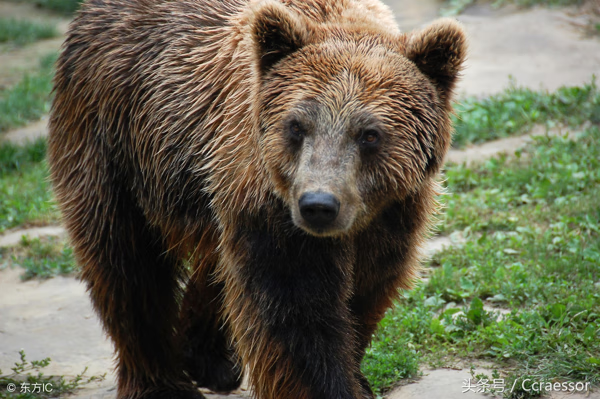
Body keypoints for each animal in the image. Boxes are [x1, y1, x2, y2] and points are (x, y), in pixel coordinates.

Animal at [49, 0, 466, 398]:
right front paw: (330, 386)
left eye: (369, 134)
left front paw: (357, 375)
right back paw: (162, 384)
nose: (318, 205)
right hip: (113, 141)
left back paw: (210, 359)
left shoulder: (395, 211)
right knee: (126, 263)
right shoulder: (268, 198)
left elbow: (367, 288)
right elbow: (294, 312)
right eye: (296, 126)